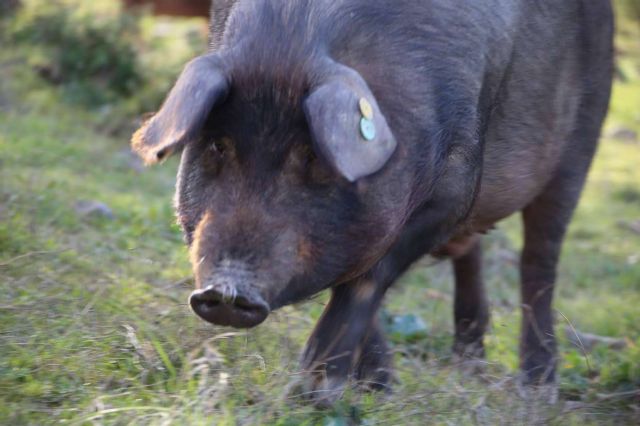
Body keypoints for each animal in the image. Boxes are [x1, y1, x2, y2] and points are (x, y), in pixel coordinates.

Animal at [131, 0, 616, 406]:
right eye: (218, 145)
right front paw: (378, 387)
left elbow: (367, 277)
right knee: (472, 254)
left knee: (540, 260)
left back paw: (538, 389)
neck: (294, 34)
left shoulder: (455, 188)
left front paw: (316, 393)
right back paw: (468, 362)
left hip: (582, 141)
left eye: (313, 155)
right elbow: (353, 272)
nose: (227, 291)